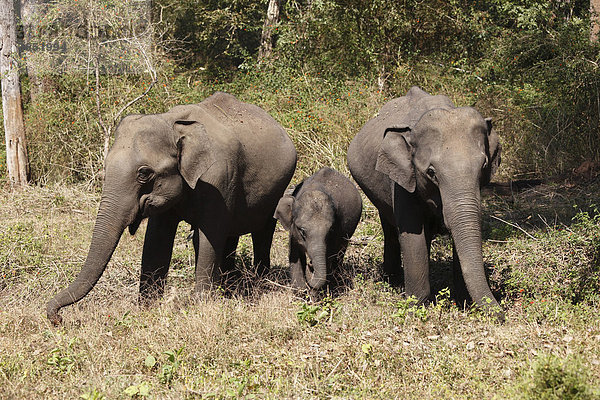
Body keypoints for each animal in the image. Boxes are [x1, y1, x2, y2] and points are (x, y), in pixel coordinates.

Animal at [47, 91, 298, 324]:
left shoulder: (219, 178)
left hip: (278, 186)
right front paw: (148, 308)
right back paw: (230, 286)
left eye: (144, 173)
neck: (171, 123)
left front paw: (202, 306)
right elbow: (157, 240)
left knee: (262, 231)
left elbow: (209, 236)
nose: (57, 318)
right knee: (232, 236)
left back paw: (258, 282)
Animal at [274, 167, 360, 296]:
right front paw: (300, 293)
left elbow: (328, 257)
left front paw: (314, 296)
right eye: (302, 231)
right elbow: (295, 256)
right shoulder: (293, 233)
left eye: (330, 231)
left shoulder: (337, 232)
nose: (311, 264)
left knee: (340, 253)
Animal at [344, 86, 504, 320]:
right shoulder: (402, 180)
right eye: (431, 172)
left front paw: (464, 304)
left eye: (483, 166)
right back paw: (392, 282)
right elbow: (412, 235)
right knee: (390, 229)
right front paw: (416, 307)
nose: (502, 314)